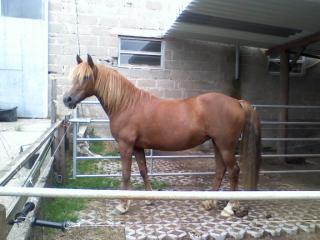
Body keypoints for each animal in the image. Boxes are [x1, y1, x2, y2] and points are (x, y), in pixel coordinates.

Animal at [63, 55, 262, 217]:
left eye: (86, 77)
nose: (67, 99)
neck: (126, 105)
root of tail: (237, 102)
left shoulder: (126, 145)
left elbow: (126, 174)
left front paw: (123, 206)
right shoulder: (138, 147)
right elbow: (143, 171)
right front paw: (150, 199)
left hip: (225, 145)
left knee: (234, 170)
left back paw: (229, 207)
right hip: (217, 144)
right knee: (220, 170)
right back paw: (209, 202)